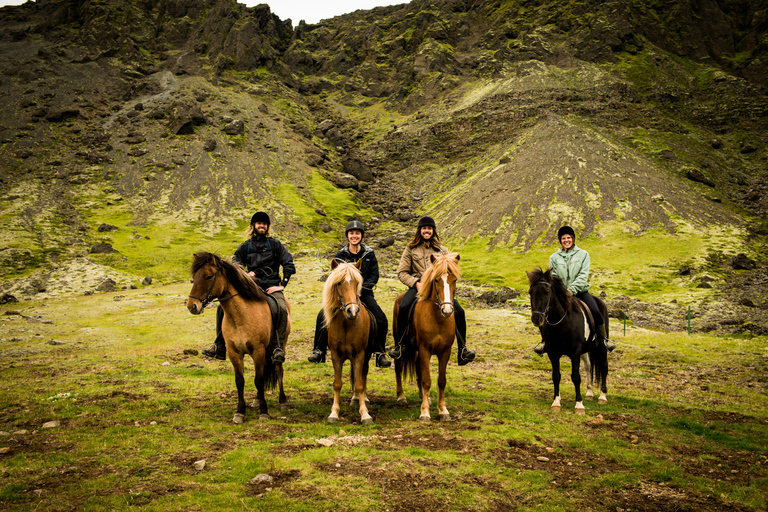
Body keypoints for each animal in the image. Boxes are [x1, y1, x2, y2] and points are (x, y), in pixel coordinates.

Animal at [187, 252, 292, 424]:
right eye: (194, 277)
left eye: (209, 276)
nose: (192, 306)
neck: (241, 315)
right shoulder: (234, 353)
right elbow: (240, 381)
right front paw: (240, 412)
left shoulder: (258, 351)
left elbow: (259, 380)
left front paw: (264, 411)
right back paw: (256, 400)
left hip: (279, 347)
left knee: (278, 369)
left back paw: (283, 401)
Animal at [320, 260, 376, 424]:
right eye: (339, 283)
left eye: (357, 283)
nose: (352, 311)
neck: (346, 323)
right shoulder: (335, 355)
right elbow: (337, 384)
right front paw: (334, 413)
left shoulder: (359, 355)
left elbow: (359, 383)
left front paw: (365, 414)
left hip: (366, 356)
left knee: (362, 376)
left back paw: (361, 398)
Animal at [392, 251, 460, 420]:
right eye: (436, 280)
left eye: (454, 280)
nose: (447, 310)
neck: (438, 319)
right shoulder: (424, 349)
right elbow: (427, 380)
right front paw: (425, 412)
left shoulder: (445, 351)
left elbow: (441, 380)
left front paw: (443, 410)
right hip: (400, 344)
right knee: (399, 365)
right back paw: (401, 396)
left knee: (417, 368)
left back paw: (423, 396)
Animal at [524, 268, 608, 416]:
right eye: (530, 292)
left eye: (547, 291)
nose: (536, 319)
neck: (561, 322)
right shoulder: (552, 352)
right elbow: (556, 376)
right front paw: (556, 402)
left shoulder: (575, 352)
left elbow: (576, 377)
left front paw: (579, 405)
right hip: (586, 350)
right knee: (589, 366)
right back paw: (590, 393)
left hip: (601, 347)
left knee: (603, 366)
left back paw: (603, 396)